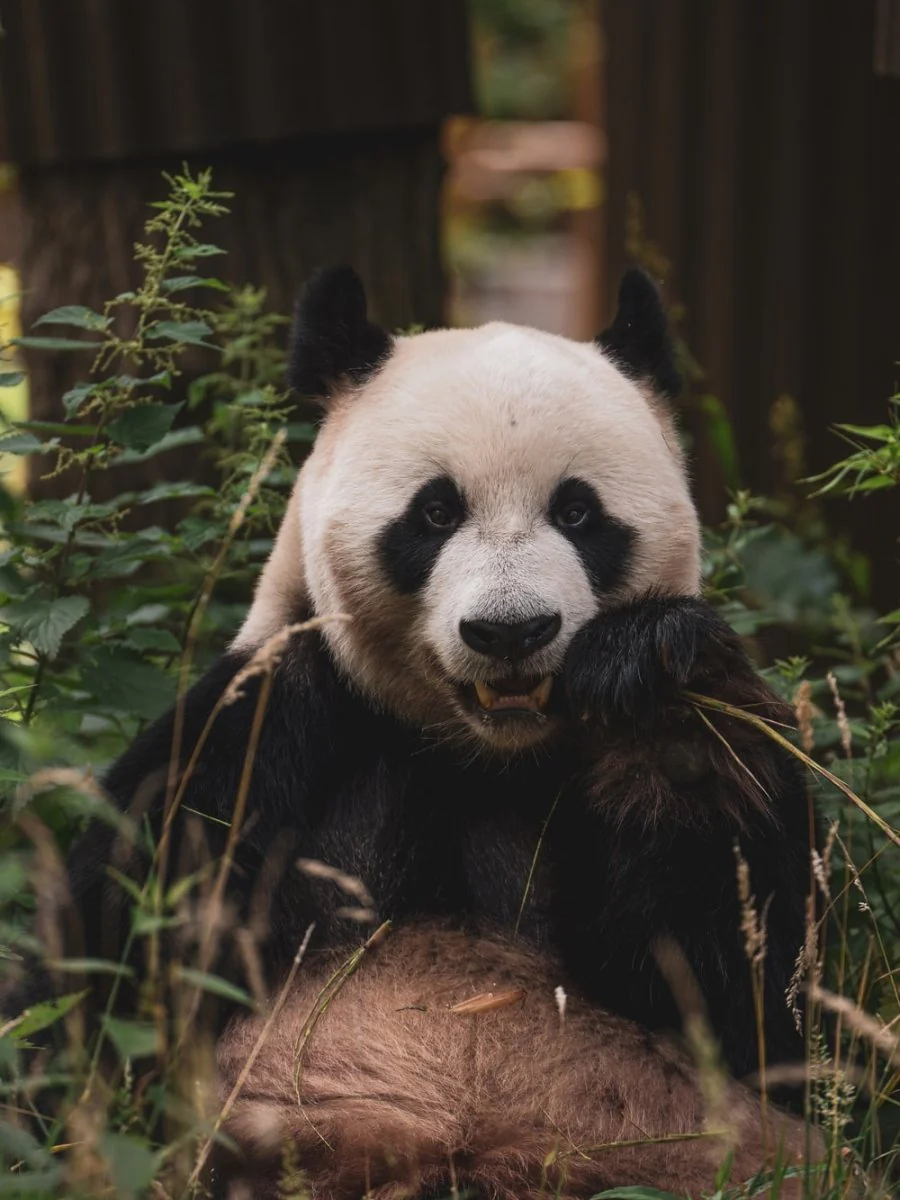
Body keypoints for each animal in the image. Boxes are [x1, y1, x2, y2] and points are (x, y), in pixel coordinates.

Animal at [41, 267, 818, 1198]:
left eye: (579, 513)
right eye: (436, 512)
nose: (510, 631)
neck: (480, 753)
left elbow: (747, 999)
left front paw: (657, 689)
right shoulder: (268, 729)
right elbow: (103, 958)